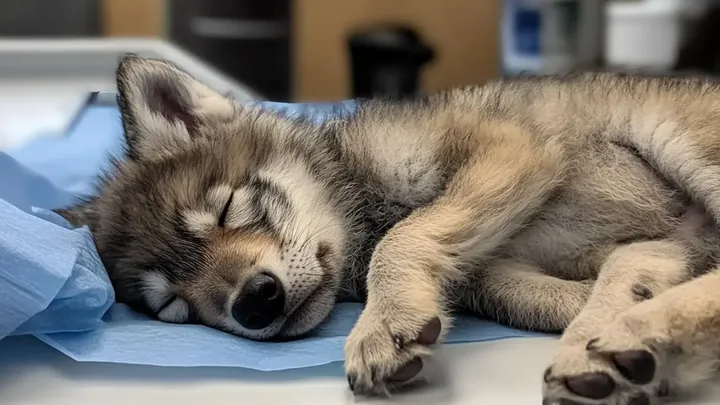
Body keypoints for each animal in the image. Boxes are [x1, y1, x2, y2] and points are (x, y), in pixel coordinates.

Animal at [56, 55, 720, 405]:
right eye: (174, 307)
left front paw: (384, 321)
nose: (255, 302)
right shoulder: (497, 271)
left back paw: (636, 333)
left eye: (228, 211)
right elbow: (591, 279)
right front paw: (607, 318)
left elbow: (402, 239)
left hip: (679, 139)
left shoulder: (509, 149)